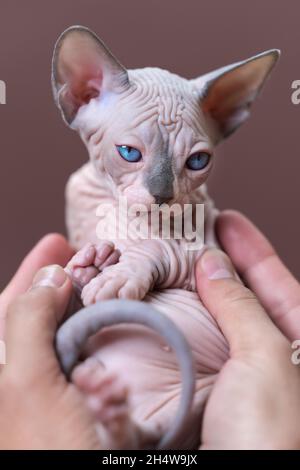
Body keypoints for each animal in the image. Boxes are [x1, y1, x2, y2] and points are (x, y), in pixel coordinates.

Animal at [52, 26, 280, 452]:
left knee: (137, 436)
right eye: (128, 152)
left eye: (197, 161)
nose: (162, 196)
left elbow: (157, 247)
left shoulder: (202, 251)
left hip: (193, 403)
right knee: (131, 438)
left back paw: (107, 404)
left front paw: (116, 274)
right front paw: (88, 263)